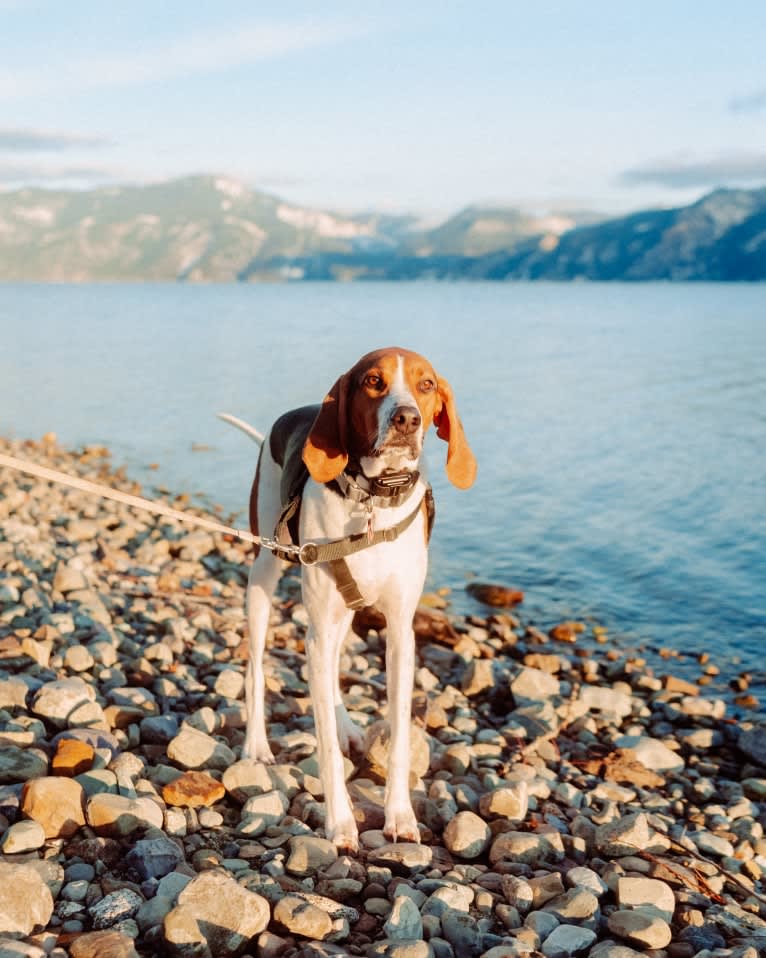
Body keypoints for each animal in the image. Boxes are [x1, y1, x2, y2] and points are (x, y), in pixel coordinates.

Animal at [219, 346, 476, 856]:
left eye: (427, 385)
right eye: (374, 381)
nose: (406, 418)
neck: (373, 500)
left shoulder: (400, 635)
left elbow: (398, 739)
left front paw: (400, 817)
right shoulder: (316, 622)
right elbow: (325, 751)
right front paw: (340, 823)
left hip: (337, 615)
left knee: (331, 666)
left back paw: (343, 725)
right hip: (265, 576)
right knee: (257, 668)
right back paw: (257, 745)